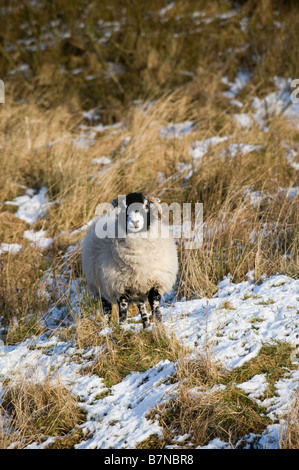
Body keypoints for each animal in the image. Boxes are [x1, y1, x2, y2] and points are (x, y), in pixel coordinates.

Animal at [82, 191, 178, 326]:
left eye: (146, 206)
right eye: (123, 208)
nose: (135, 222)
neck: (139, 258)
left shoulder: (155, 284)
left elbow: (157, 313)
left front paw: (160, 328)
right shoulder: (119, 288)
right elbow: (122, 317)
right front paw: (122, 330)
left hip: (138, 291)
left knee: (142, 310)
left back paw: (146, 326)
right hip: (100, 288)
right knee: (107, 312)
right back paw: (106, 328)